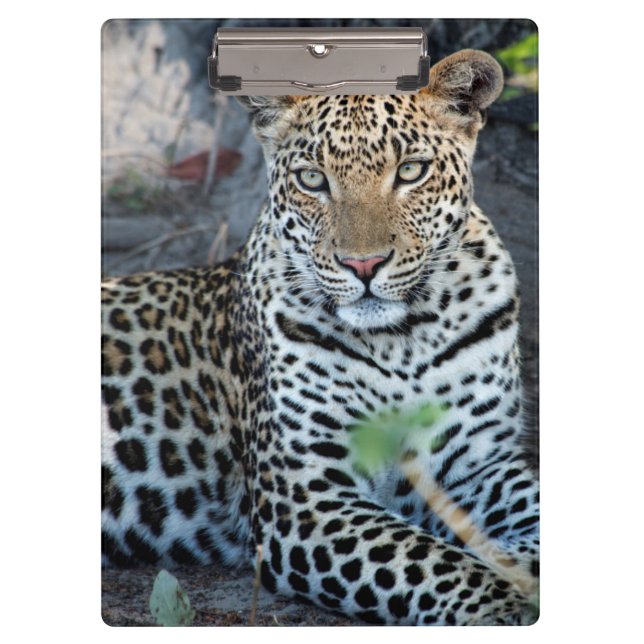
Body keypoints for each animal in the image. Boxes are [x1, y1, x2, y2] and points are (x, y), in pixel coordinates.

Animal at [102, 49, 539, 626]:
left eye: (411, 171)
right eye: (312, 179)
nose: (364, 265)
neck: (405, 339)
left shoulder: (480, 461)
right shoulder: (305, 497)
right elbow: (429, 559)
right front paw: (504, 604)